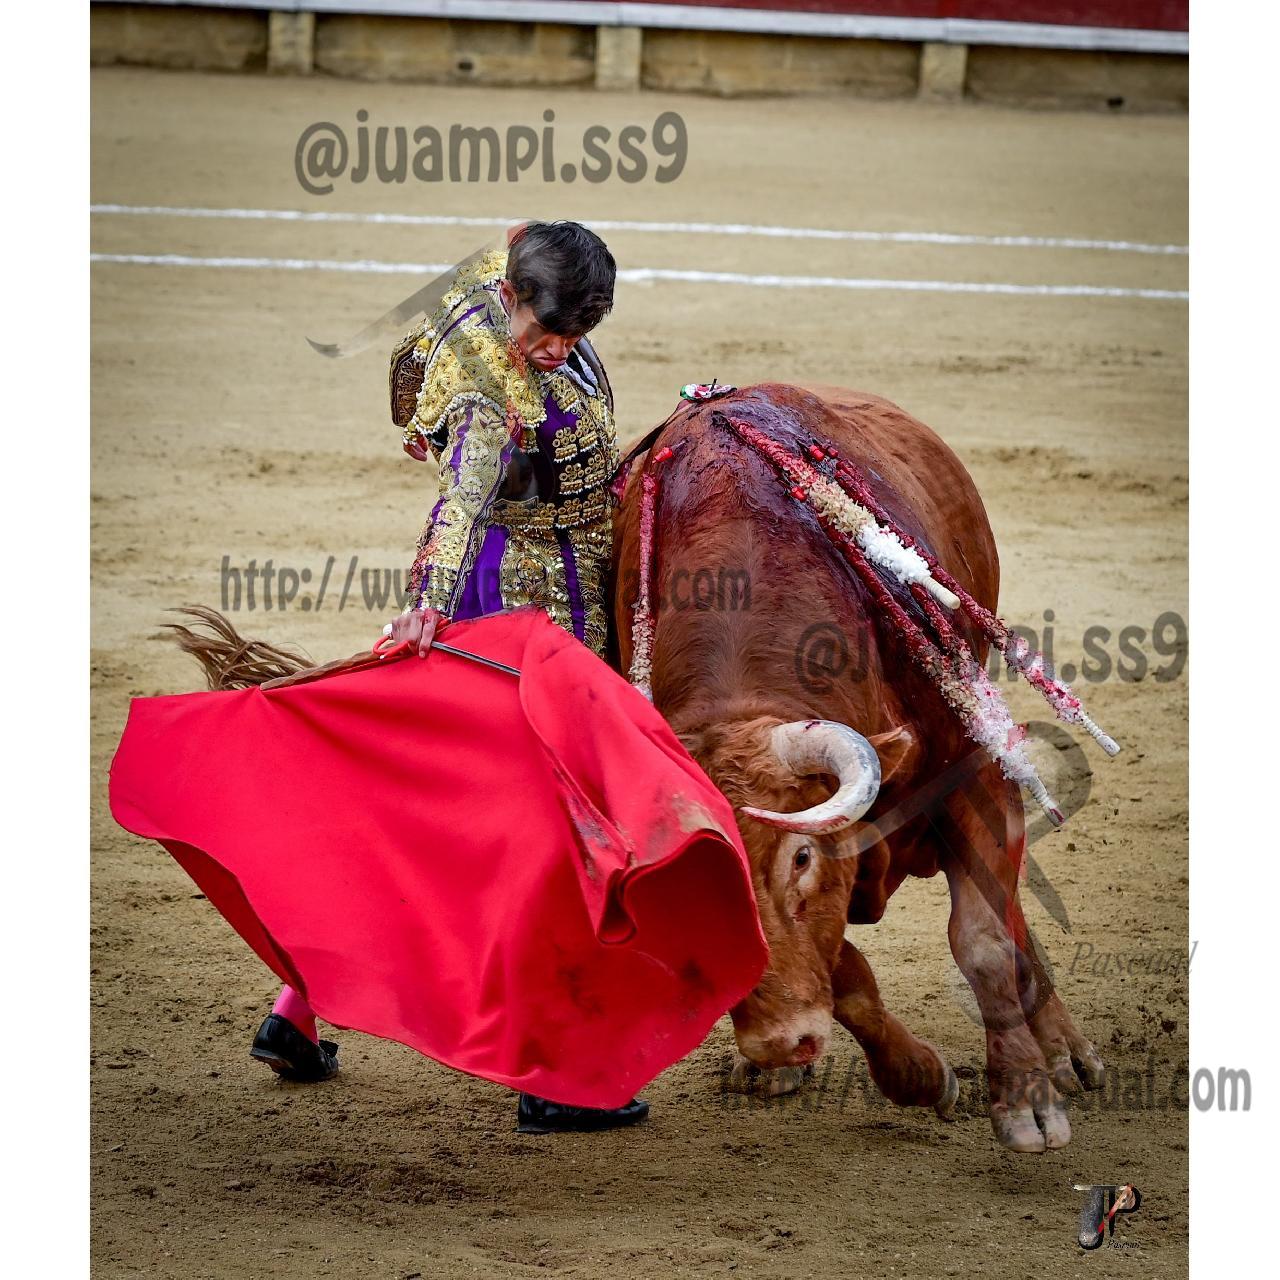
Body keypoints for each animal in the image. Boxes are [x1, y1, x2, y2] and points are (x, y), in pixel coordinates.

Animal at [610, 382, 1106, 1153]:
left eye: (801, 857)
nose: (776, 1042)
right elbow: (847, 977)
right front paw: (922, 1076)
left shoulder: (972, 772)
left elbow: (986, 941)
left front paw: (1026, 1097)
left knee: (1012, 915)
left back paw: (1065, 1052)